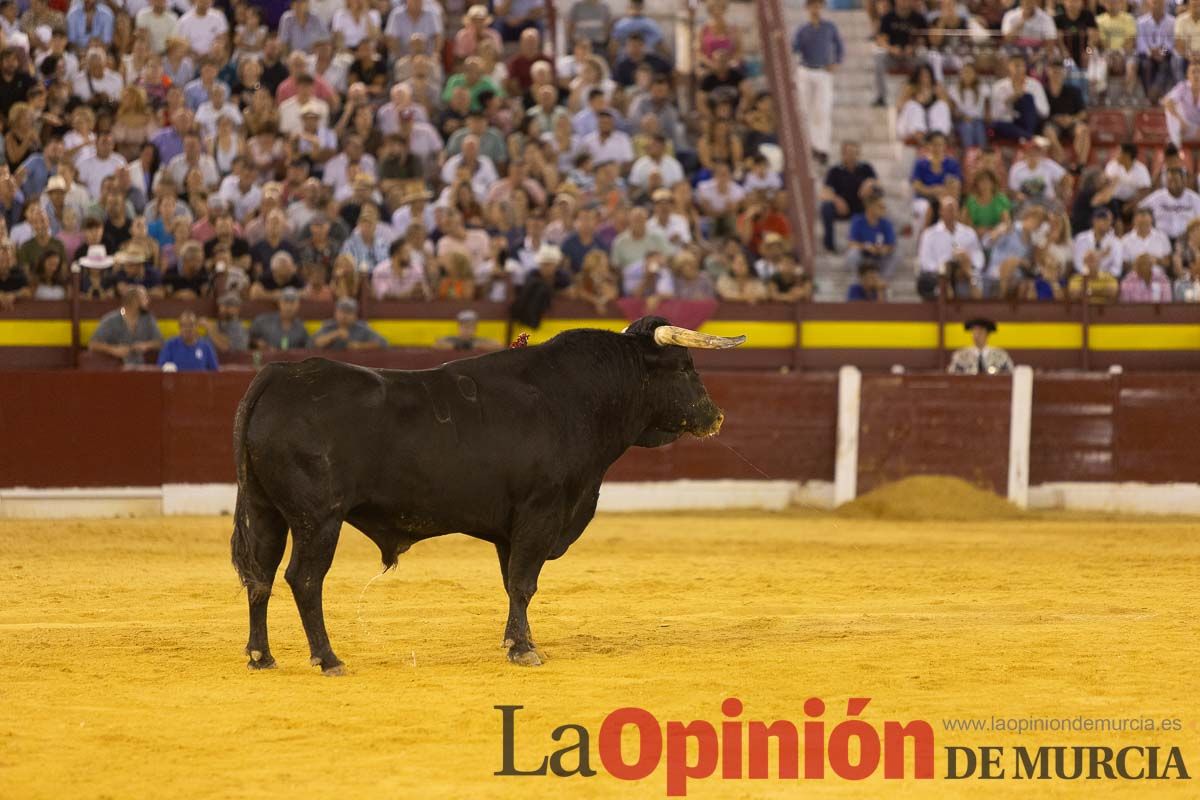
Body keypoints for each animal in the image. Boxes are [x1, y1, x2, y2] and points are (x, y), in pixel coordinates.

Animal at [229, 316, 744, 671]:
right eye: (685, 367)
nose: (716, 416)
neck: (578, 397)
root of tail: (279, 374)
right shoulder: (541, 513)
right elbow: (523, 582)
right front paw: (523, 650)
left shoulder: (508, 529)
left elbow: (512, 582)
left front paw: (520, 640)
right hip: (319, 519)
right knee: (303, 578)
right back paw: (328, 658)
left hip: (267, 511)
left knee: (261, 576)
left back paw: (260, 656)